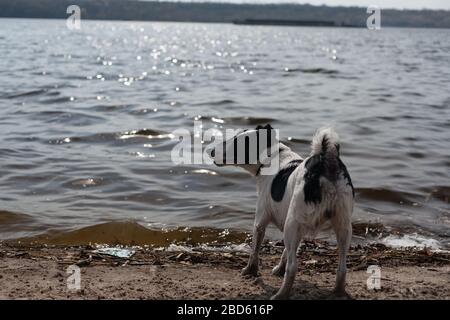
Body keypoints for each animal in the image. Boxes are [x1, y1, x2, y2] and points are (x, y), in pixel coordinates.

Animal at [209, 125, 354, 300]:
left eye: (235, 142)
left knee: (293, 267)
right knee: (342, 268)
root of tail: (327, 163)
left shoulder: (261, 221)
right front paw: (278, 269)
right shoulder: (295, 227)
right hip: (342, 225)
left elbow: (254, 250)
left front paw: (250, 271)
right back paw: (338, 292)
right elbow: (286, 251)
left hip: (294, 223)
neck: (271, 155)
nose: (211, 152)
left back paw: (281, 294)